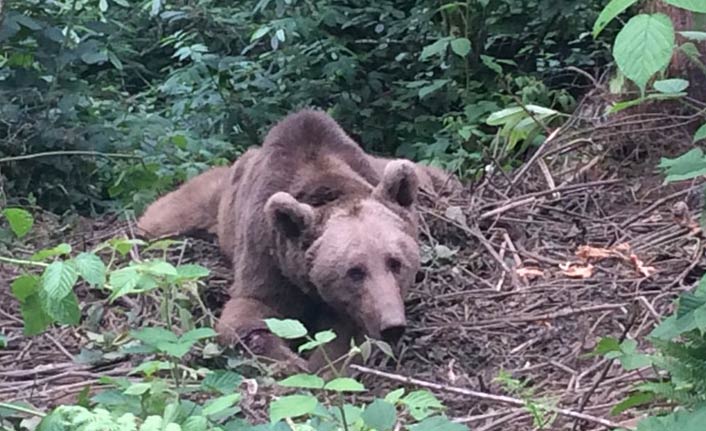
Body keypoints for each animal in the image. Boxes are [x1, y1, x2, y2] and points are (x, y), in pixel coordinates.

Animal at [137, 109, 460, 374]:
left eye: (395, 262)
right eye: (354, 271)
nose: (392, 326)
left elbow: (342, 336)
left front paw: (324, 364)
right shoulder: (268, 253)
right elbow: (249, 310)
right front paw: (290, 360)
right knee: (165, 214)